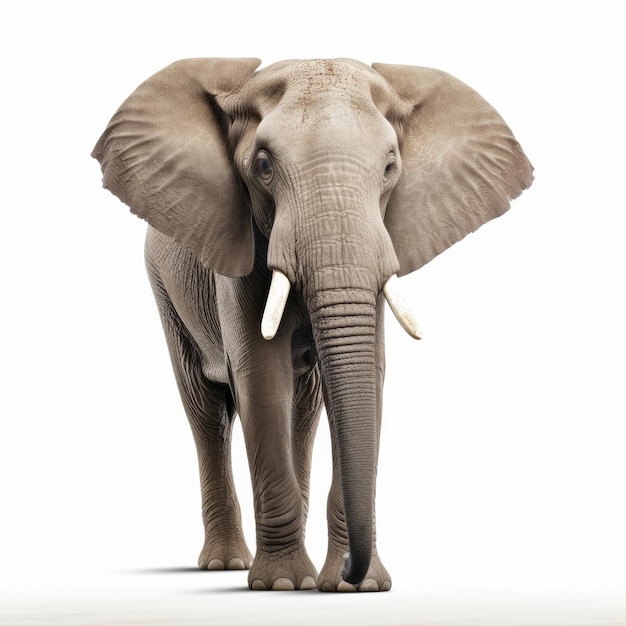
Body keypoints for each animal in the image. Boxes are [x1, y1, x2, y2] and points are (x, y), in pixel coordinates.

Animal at [92, 57, 532, 588]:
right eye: (263, 166)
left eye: (390, 167)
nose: (348, 570)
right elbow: (261, 377)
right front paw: (282, 583)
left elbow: (368, 376)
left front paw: (350, 587)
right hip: (164, 286)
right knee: (206, 410)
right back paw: (226, 563)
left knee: (304, 407)